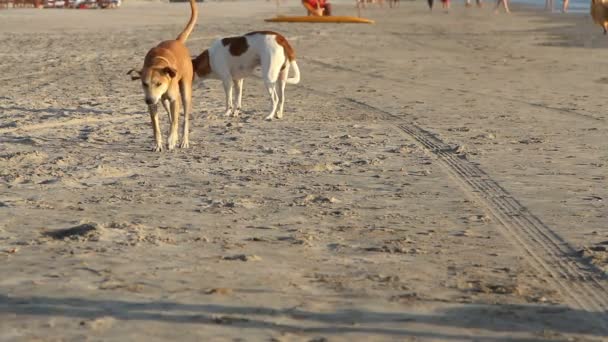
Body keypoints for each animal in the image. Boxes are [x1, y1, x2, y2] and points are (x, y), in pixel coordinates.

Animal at [129, 0, 198, 152]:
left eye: (159, 83)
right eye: (144, 83)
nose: (148, 100)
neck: (157, 63)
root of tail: (177, 41)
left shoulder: (174, 99)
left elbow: (175, 123)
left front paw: (171, 140)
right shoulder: (154, 104)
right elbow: (156, 126)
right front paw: (158, 144)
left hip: (185, 92)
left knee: (183, 119)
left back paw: (183, 141)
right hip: (163, 101)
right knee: (171, 116)